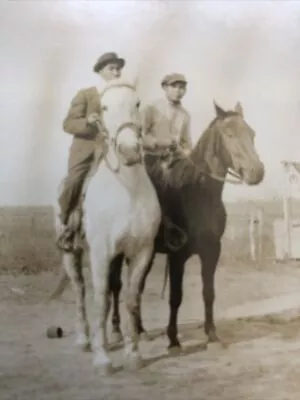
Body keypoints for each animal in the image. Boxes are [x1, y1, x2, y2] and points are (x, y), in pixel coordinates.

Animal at [54, 79, 162, 376]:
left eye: (137, 103)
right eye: (103, 107)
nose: (128, 150)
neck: (128, 189)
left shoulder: (141, 253)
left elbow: (131, 299)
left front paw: (133, 354)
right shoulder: (100, 254)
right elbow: (100, 300)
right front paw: (102, 358)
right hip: (71, 254)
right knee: (80, 291)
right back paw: (83, 339)